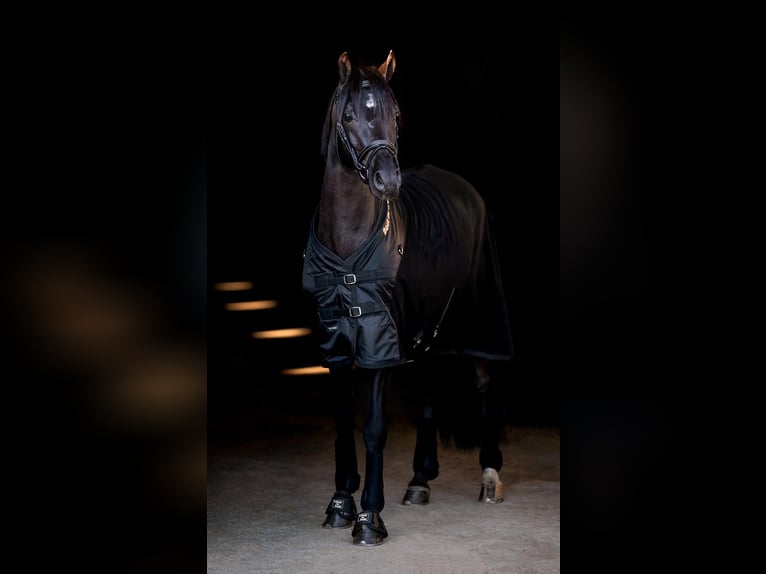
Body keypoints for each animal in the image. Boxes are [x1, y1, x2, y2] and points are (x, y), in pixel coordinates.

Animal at [301, 50, 514, 546]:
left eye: (395, 115)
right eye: (349, 115)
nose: (387, 180)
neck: (347, 245)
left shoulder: (379, 340)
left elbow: (374, 428)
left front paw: (369, 519)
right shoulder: (335, 341)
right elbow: (342, 421)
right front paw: (340, 504)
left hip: (477, 314)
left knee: (483, 382)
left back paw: (489, 477)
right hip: (426, 325)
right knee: (430, 388)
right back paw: (420, 480)